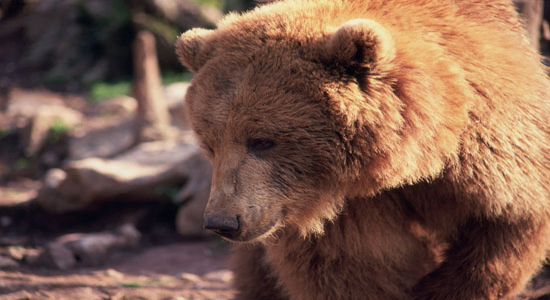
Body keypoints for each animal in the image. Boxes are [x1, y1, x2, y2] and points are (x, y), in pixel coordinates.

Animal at [178, 0, 550, 298]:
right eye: (210, 144)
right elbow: (350, 269)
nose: (222, 222)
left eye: (262, 140)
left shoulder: (491, 157)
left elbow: (506, 228)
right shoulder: (348, 214)